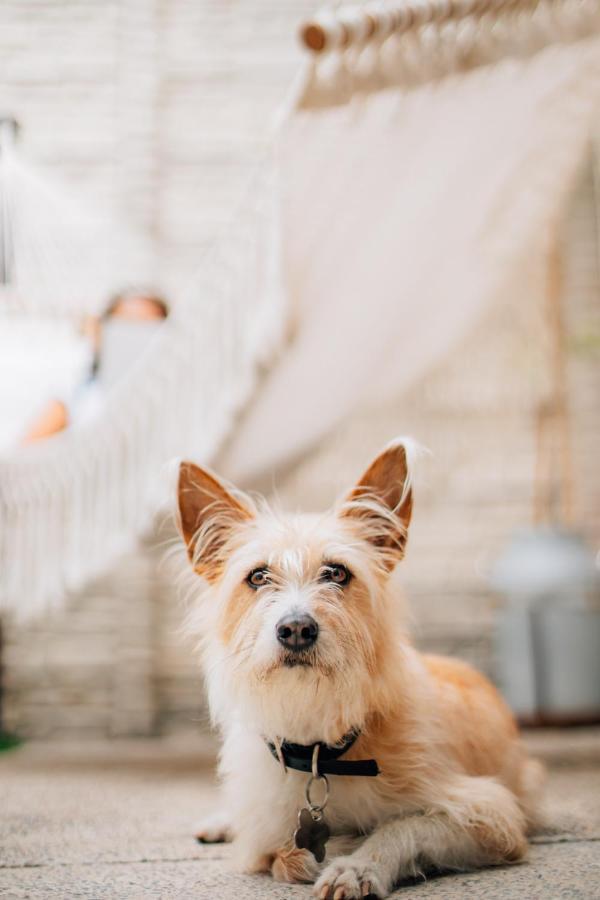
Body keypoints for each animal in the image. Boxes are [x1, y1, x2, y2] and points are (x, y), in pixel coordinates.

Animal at [175, 440, 544, 896]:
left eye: (336, 573)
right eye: (258, 577)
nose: (296, 629)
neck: (322, 748)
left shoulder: (491, 815)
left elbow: (401, 826)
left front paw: (356, 864)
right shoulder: (263, 828)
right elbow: (282, 852)